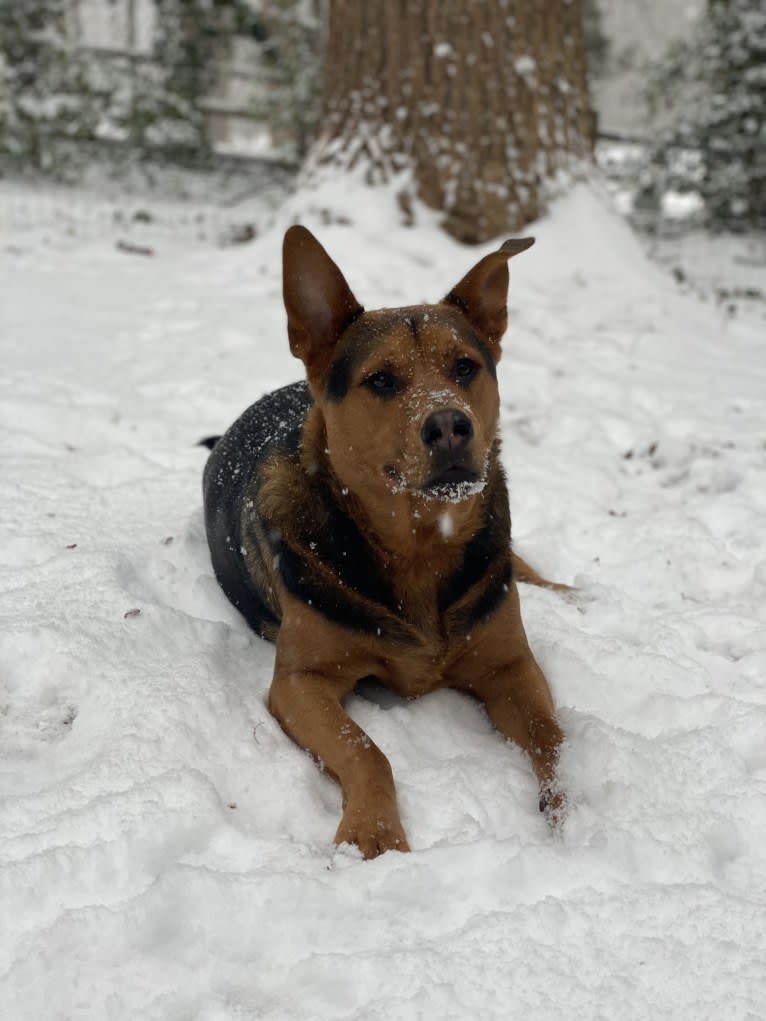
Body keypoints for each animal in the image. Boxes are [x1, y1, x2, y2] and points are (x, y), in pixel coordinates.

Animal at [201, 227, 567, 857]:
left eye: (465, 367)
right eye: (380, 380)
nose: (449, 426)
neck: (417, 545)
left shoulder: (509, 663)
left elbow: (552, 733)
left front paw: (569, 812)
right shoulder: (300, 682)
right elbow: (367, 751)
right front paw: (372, 832)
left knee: (517, 562)